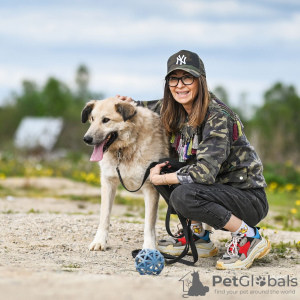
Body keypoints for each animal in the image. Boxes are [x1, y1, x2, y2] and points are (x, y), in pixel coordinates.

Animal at [81, 98, 169, 251]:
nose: (86, 139)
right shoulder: (108, 183)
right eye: (92, 119)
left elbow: (149, 223)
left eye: (106, 120)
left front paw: (149, 247)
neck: (125, 149)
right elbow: (104, 217)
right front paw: (99, 241)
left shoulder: (150, 187)